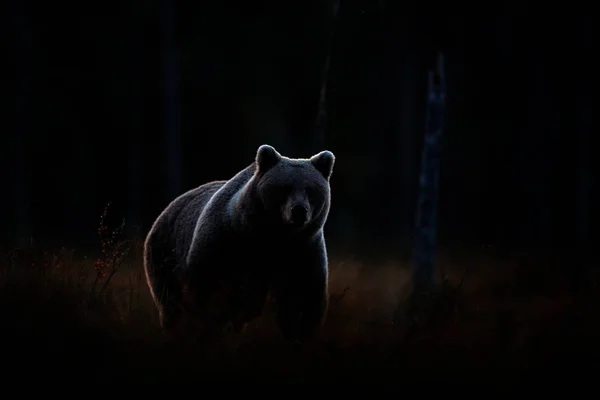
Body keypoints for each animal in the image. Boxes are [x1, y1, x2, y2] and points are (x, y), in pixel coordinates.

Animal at [144, 144, 336, 344]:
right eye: (285, 187)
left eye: (311, 189)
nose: (299, 210)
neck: (274, 238)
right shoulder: (225, 245)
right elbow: (209, 298)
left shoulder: (304, 252)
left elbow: (302, 298)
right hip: (165, 256)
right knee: (172, 306)